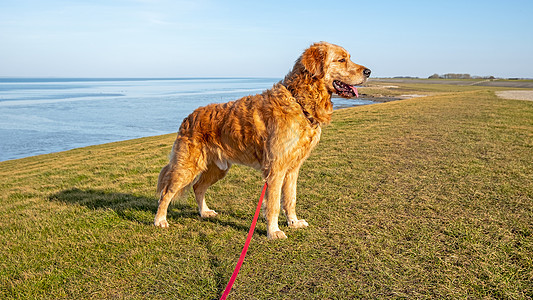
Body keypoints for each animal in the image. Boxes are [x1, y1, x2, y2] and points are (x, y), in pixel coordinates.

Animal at [154, 41, 370, 239]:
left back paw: (204, 212)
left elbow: (290, 199)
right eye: (341, 60)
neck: (299, 101)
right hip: (186, 167)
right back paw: (160, 220)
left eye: (348, 58)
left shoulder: (293, 168)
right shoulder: (276, 169)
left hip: (218, 169)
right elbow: (273, 203)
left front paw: (293, 222)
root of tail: (189, 116)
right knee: (166, 193)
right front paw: (273, 231)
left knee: (198, 187)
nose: (368, 72)